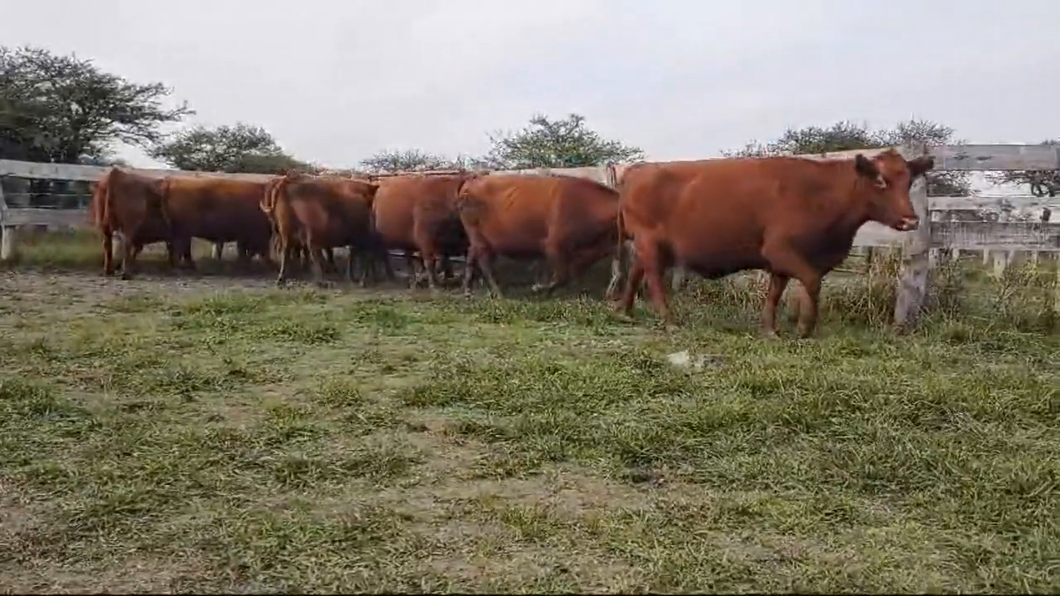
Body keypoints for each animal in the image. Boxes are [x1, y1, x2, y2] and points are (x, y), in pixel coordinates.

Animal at [455, 172, 619, 294]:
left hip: (479, 240)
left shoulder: (595, 251)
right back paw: (497, 292)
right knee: (484, 262)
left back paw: (468, 289)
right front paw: (540, 288)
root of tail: (471, 181)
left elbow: (574, 274)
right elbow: (562, 276)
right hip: (479, 237)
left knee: (471, 254)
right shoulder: (554, 245)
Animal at [614, 147, 937, 337]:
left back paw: (625, 312)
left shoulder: (778, 261)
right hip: (650, 242)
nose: (911, 220)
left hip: (650, 246)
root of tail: (639, 169)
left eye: (909, 181)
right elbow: (811, 282)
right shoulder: (781, 250)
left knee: (636, 272)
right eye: (880, 181)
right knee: (652, 277)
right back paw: (668, 319)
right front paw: (805, 328)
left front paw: (770, 330)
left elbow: (774, 292)